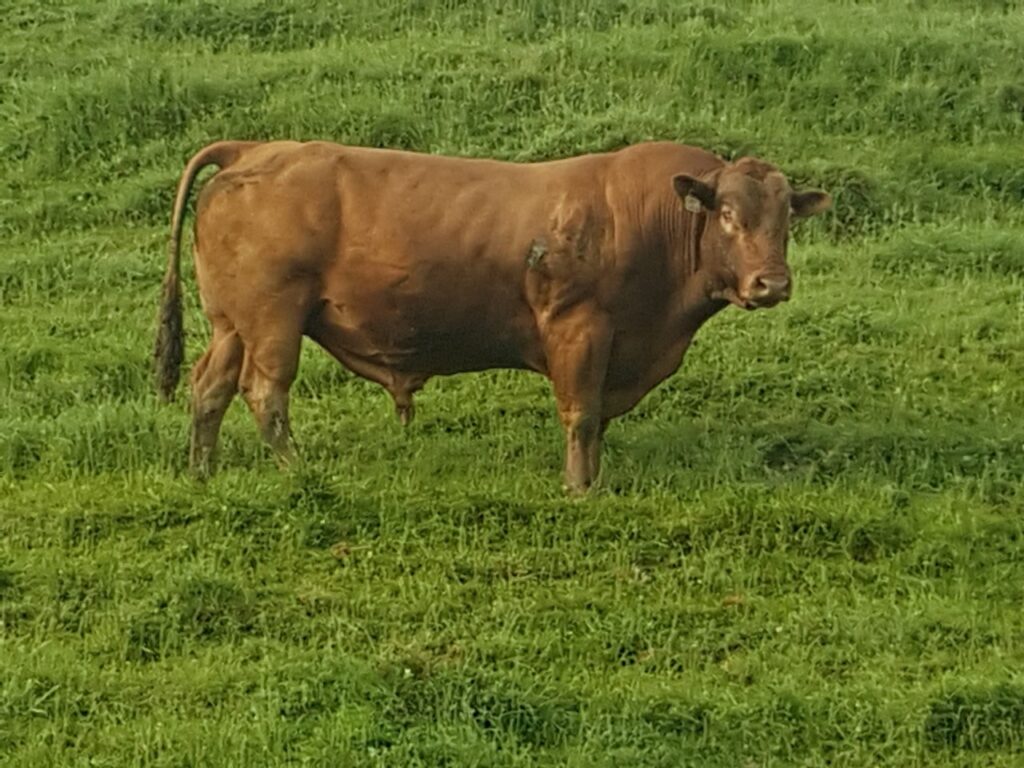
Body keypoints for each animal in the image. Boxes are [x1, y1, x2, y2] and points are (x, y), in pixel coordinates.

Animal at [154, 140, 830, 492]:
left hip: (233, 324)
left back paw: (201, 472)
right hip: (274, 319)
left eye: (785, 221)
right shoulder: (580, 330)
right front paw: (580, 488)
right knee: (265, 392)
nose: (772, 283)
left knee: (210, 388)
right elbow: (582, 416)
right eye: (728, 217)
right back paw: (299, 473)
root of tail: (252, 149)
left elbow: (596, 421)